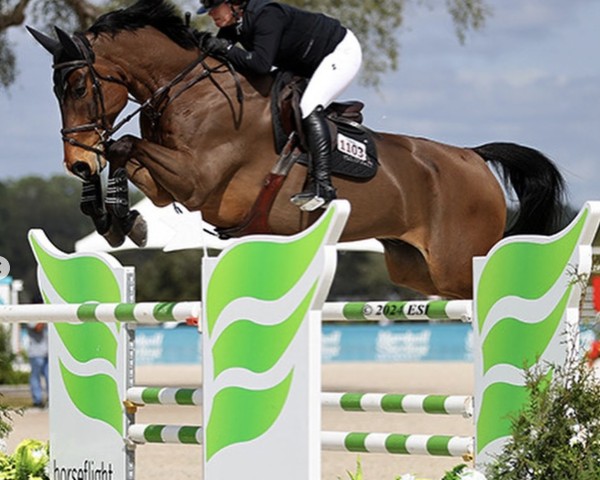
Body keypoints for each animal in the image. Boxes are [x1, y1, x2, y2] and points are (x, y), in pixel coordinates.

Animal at [28, 0, 564, 300]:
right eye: (54, 89)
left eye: (78, 85)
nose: (76, 162)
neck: (185, 89)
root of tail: (474, 158)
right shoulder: (171, 186)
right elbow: (124, 154)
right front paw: (116, 217)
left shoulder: (198, 180)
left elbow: (122, 143)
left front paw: (118, 216)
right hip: (419, 269)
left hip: (457, 263)